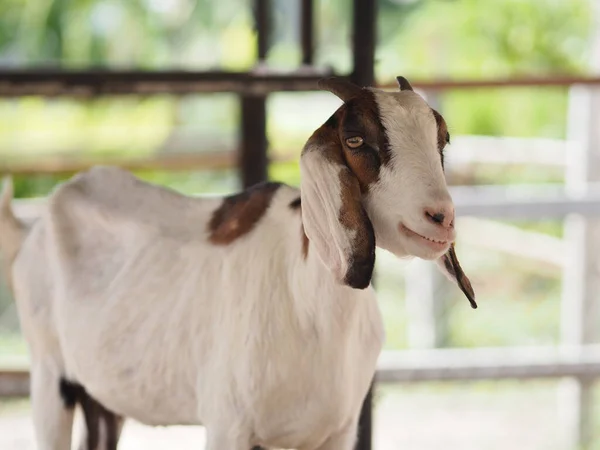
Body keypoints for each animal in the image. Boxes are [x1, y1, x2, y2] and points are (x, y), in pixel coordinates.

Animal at [1, 75, 478, 448]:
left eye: (442, 140)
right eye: (355, 140)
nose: (440, 217)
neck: (308, 304)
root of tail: (34, 226)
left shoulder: (337, 432)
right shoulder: (227, 425)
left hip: (101, 395)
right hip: (49, 376)